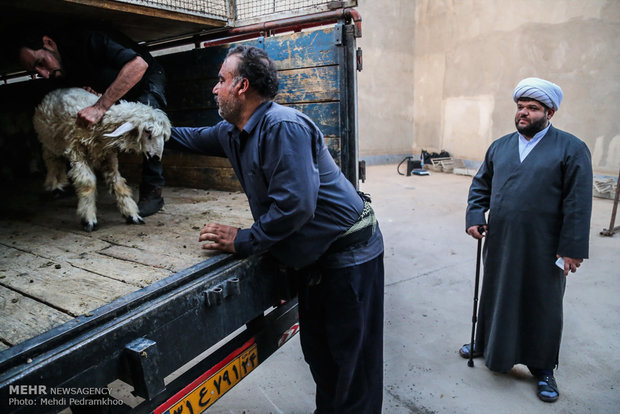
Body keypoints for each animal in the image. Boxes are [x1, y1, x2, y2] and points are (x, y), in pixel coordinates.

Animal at [32, 87, 171, 231]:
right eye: (148, 132)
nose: (156, 158)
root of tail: (55, 90)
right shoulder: (76, 151)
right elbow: (88, 183)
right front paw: (88, 218)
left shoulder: (108, 156)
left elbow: (118, 183)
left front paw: (132, 215)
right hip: (49, 140)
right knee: (51, 160)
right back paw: (54, 185)